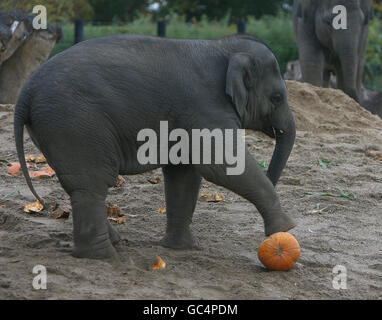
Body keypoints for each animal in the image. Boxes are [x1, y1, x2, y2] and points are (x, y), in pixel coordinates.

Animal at [14, 34, 296, 260]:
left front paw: (182, 248)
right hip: (75, 122)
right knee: (91, 183)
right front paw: (286, 228)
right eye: (277, 98)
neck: (221, 46)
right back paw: (105, 257)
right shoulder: (205, 107)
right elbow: (220, 164)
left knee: (80, 185)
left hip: (56, 127)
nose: (272, 178)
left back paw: (112, 243)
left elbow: (184, 173)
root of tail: (25, 93)